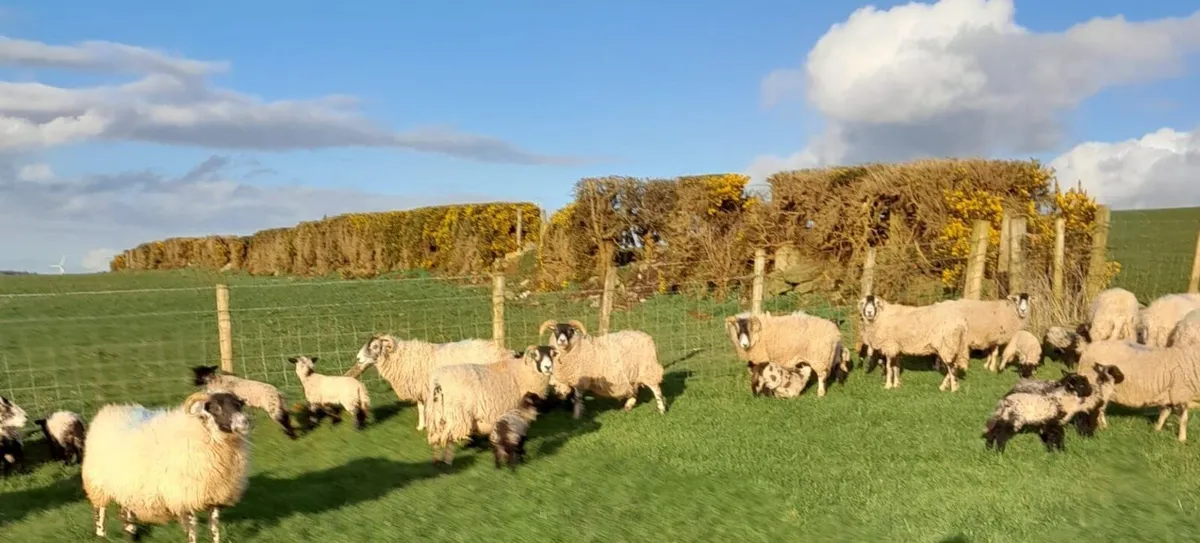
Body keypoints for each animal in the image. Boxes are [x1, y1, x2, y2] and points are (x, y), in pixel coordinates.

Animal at [82, 391, 251, 542]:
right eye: (216, 408)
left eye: (238, 405)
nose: (245, 422)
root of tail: (110, 410)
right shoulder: (185, 496)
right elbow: (192, 530)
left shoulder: (214, 497)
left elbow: (215, 528)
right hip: (97, 483)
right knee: (100, 512)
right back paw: (101, 535)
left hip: (127, 486)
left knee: (126, 514)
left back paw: (131, 535)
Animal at [350, 334, 512, 431]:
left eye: (375, 346)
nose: (358, 358)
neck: (404, 359)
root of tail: (504, 352)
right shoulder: (421, 388)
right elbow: (421, 407)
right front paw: (421, 426)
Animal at [426, 345, 554, 466]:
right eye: (535, 355)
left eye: (552, 354)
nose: (548, 367)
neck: (522, 372)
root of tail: (438, 381)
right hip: (457, 415)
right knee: (448, 438)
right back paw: (447, 462)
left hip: (437, 413)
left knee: (437, 438)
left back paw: (437, 462)